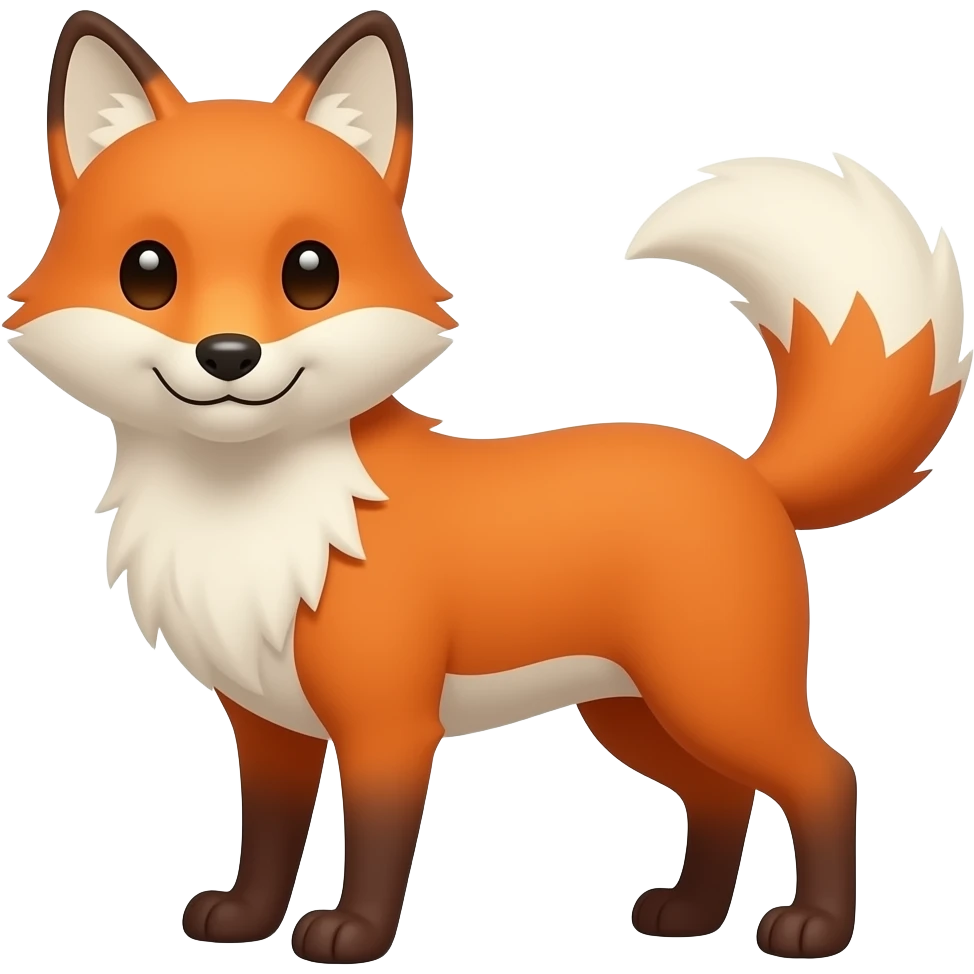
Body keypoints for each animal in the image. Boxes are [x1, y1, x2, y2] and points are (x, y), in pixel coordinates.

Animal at [5, 7, 970, 965]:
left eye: (310, 273)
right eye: (148, 273)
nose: (229, 355)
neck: (251, 512)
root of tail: (746, 470)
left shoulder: (389, 722)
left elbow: (377, 843)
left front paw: (352, 936)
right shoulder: (269, 723)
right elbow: (270, 840)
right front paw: (244, 920)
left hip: (713, 695)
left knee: (825, 777)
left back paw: (814, 928)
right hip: (633, 713)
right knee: (720, 796)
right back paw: (690, 915)